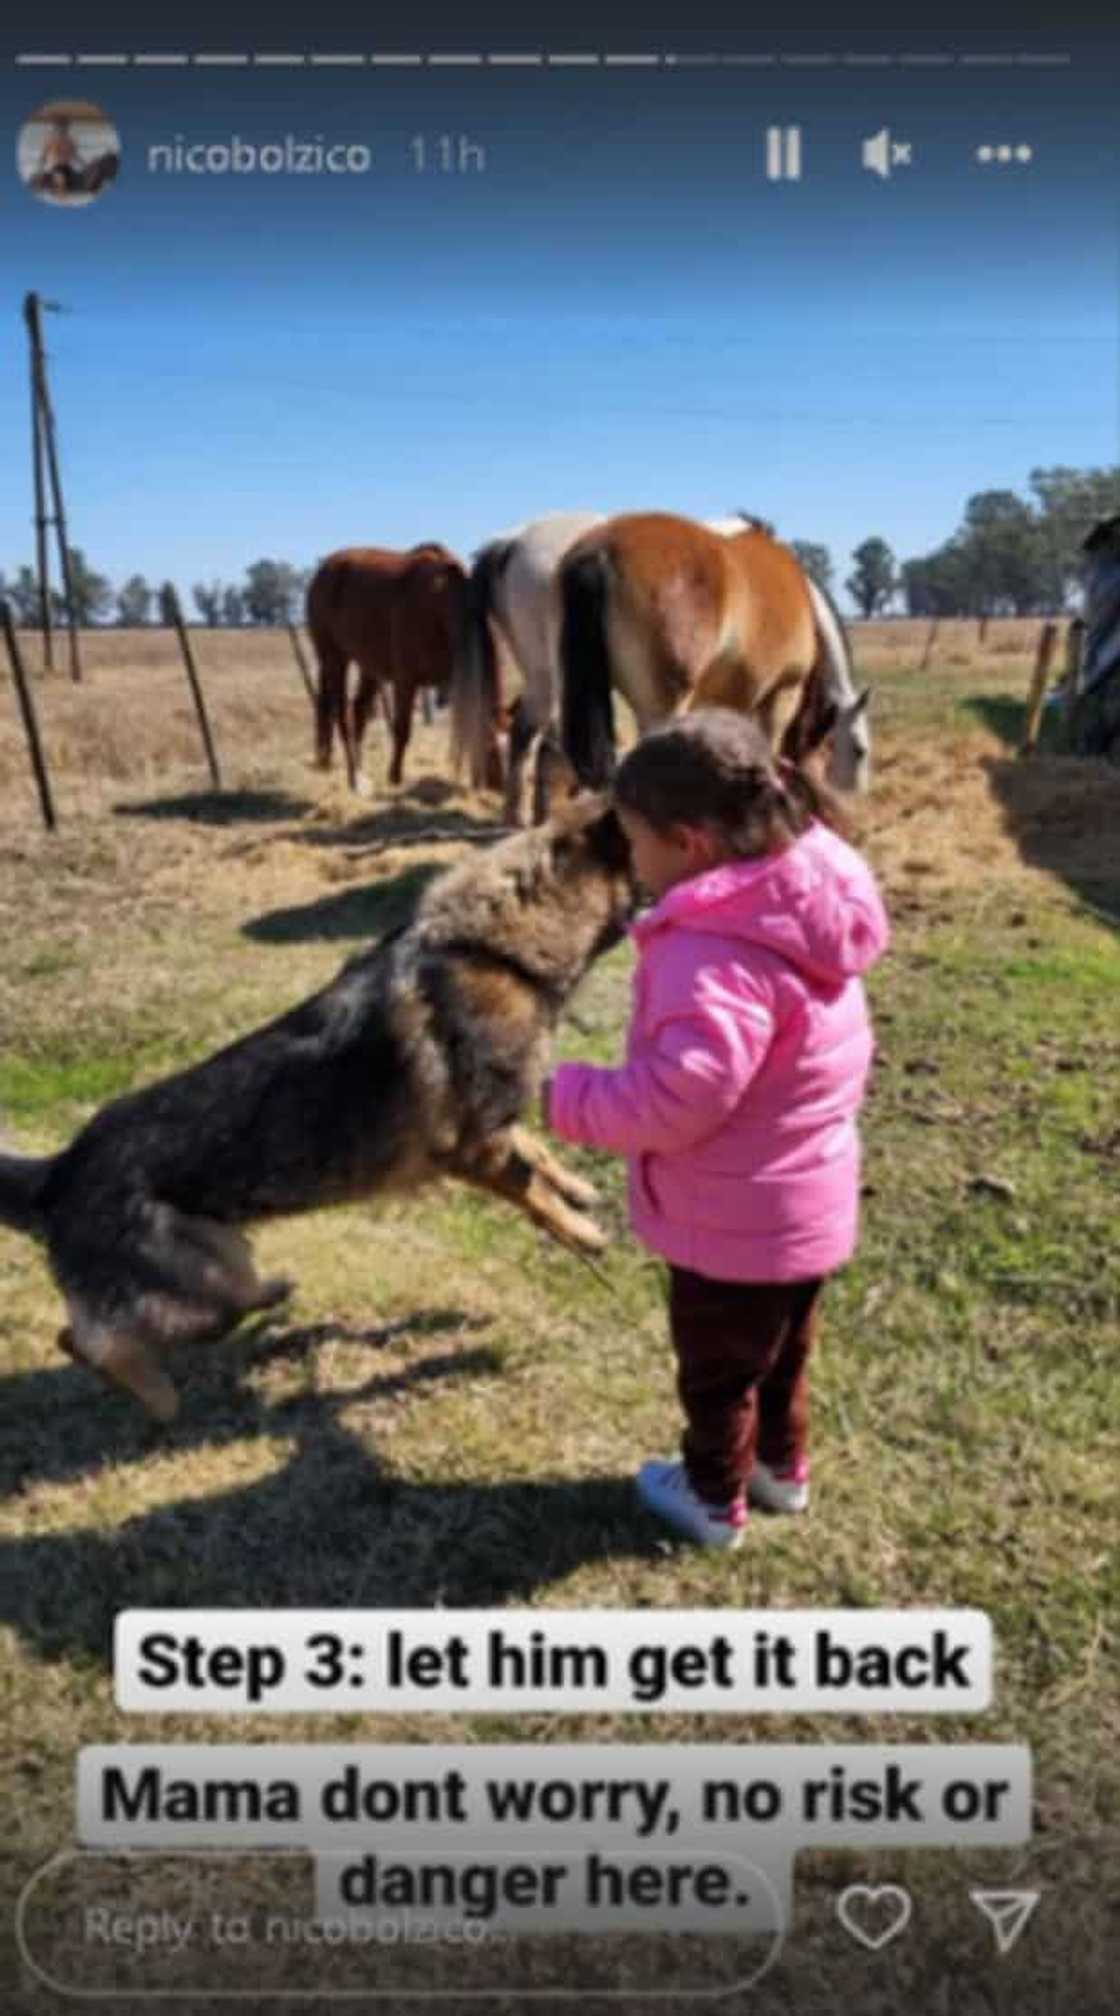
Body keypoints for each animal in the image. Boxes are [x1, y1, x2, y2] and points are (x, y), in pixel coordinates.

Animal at [0, 794, 632, 1427]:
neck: (489, 947)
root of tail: (59, 1170)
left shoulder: (493, 1119)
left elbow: (537, 1150)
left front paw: (577, 1187)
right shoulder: (473, 1148)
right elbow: (533, 1193)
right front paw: (583, 1233)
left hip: (226, 1257)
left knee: (121, 1326)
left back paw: (270, 1303)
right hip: (198, 1291)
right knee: (89, 1340)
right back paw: (160, 1396)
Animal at [308, 544, 475, 794]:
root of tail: (324, 568)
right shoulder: (405, 681)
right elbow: (402, 729)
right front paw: (395, 776)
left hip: (368, 667)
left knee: (357, 711)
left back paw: (355, 766)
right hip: (334, 659)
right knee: (341, 714)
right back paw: (353, 777)